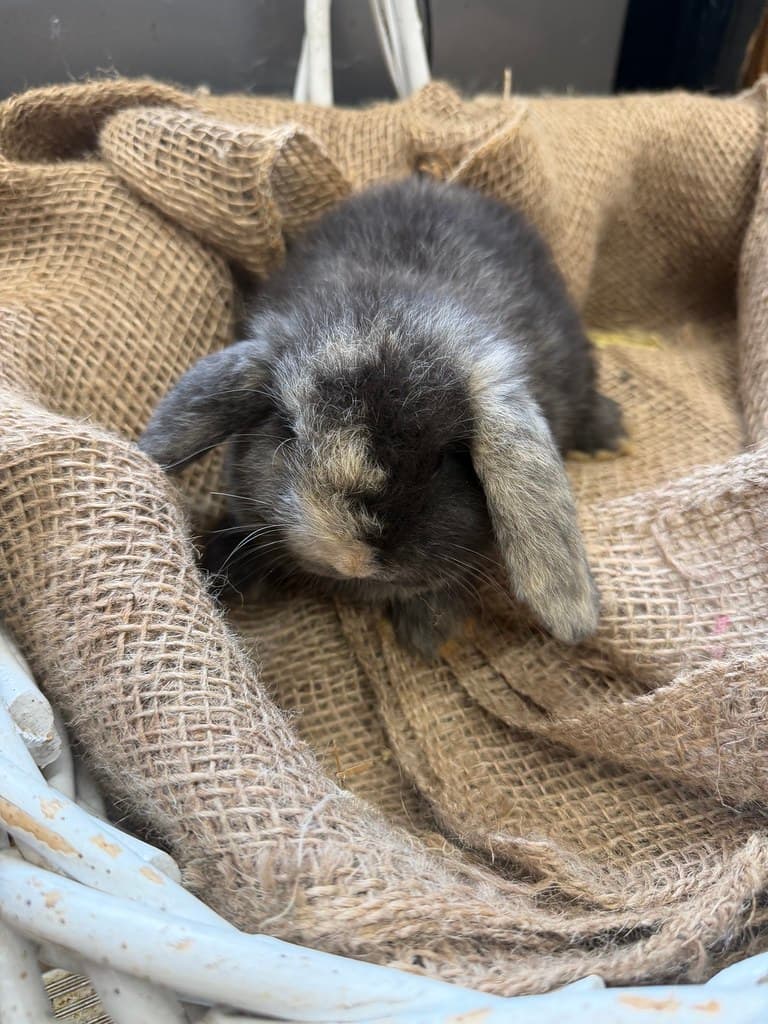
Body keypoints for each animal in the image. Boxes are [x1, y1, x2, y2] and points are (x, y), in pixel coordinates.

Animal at [138, 176, 625, 659]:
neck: (386, 314)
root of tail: (437, 187)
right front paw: (222, 567)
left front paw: (428, 635)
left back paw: (610, 436)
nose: (352, 560)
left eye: (442, 460)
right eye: (287, 431)